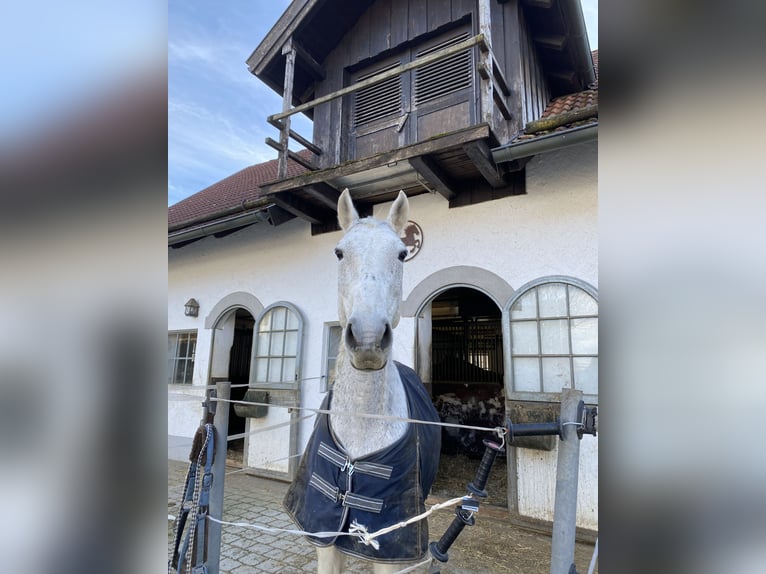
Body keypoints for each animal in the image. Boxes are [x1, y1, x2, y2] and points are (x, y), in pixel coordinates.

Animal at [284, 190, 440, 574]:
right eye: (339, 252)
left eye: (401, 254)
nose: (368, 339)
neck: (361, 428)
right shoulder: (324, 536)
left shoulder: (389, 550)